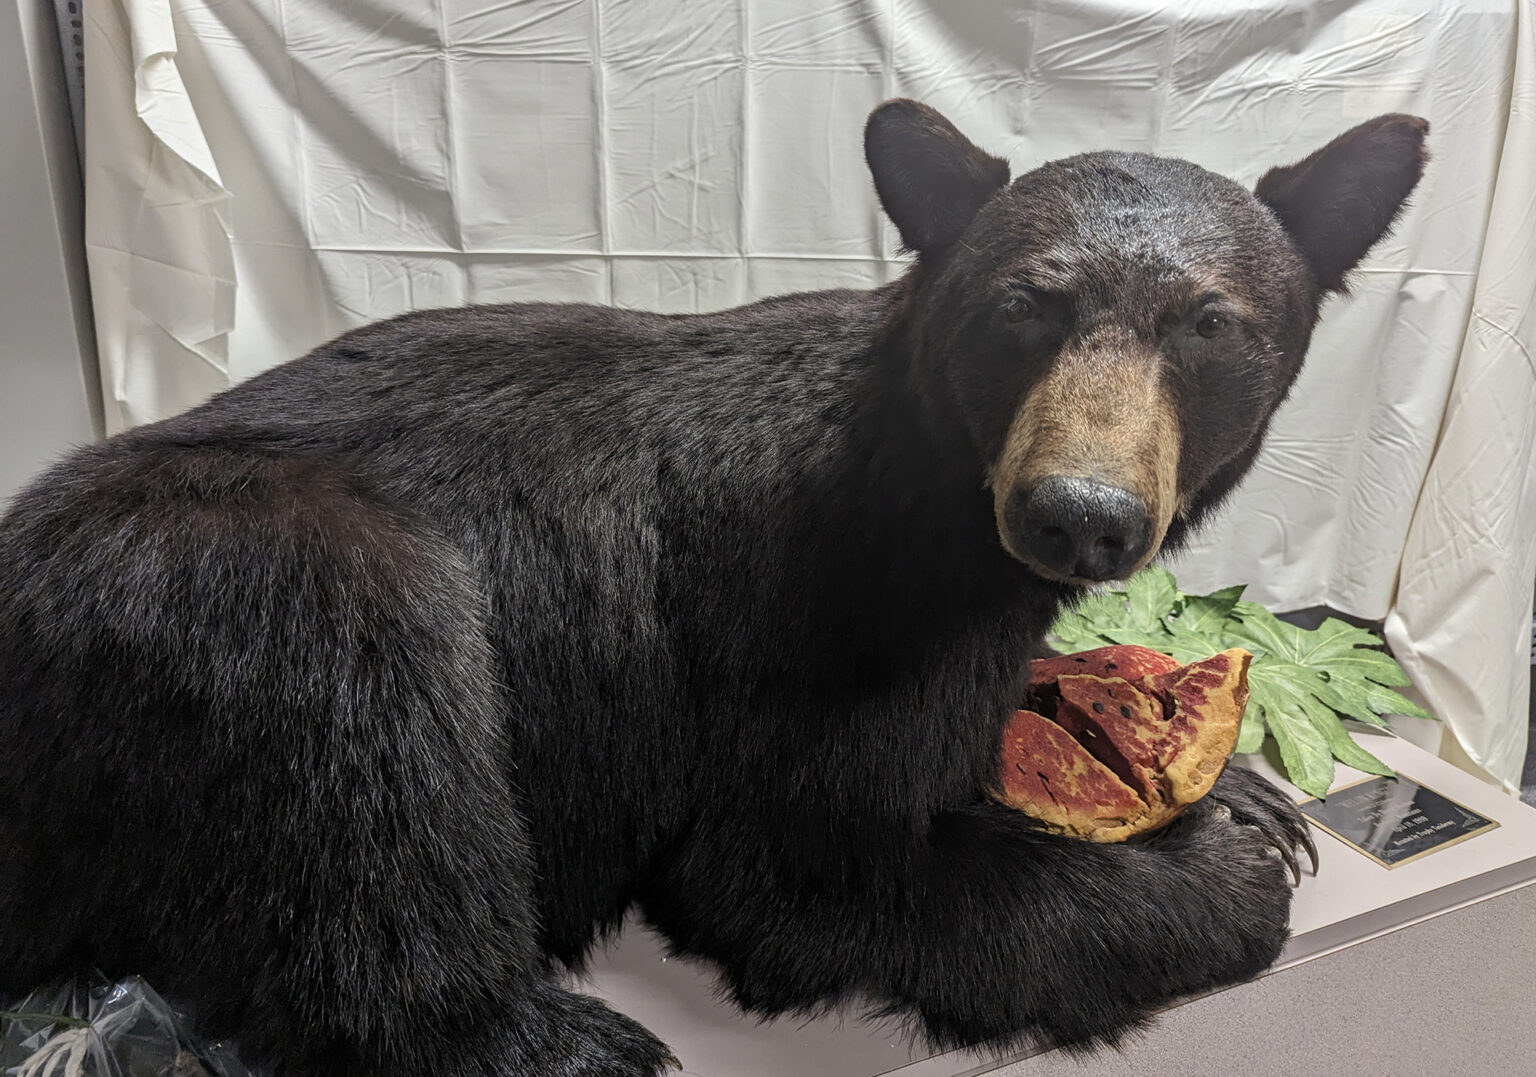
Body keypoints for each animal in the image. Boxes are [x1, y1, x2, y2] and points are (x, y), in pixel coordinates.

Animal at [3, 99, 1425, 1069]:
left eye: (1212, 324)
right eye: (1026, 305)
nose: (1078, 516)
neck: (933, 493)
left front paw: (1226, 780)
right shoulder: (817, 604)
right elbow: (800, 865)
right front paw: (1223, 873)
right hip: (230, 573)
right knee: (363, 737)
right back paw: (570, 1042)